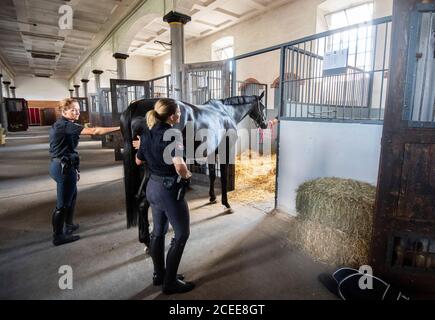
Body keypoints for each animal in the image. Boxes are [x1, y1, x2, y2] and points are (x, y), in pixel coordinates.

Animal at [120, 92, 270, 248]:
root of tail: (135, 106)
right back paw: (148, 241)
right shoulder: (224, 152)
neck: (226, 112)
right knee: (144, 201)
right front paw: (226, 204)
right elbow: (223, 179)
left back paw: (145, 241)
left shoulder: (212, 153)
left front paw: (212, 198)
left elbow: (212, 176)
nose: (265, 124)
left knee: (139, 199)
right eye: (263, 106)